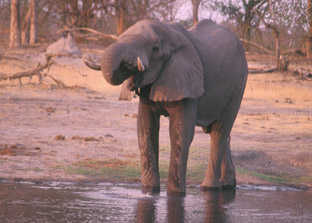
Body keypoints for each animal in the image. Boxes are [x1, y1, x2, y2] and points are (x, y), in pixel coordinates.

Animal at [84, 19, 247, 195]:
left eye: (155, 48)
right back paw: (228, 185)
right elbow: (145, 129)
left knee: (219, 132)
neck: (169, 32)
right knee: (219, 133)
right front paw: (149, 191)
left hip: (238, 84)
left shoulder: (186, 80)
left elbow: (180, 133)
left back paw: (208, 188)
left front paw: (175, 194)